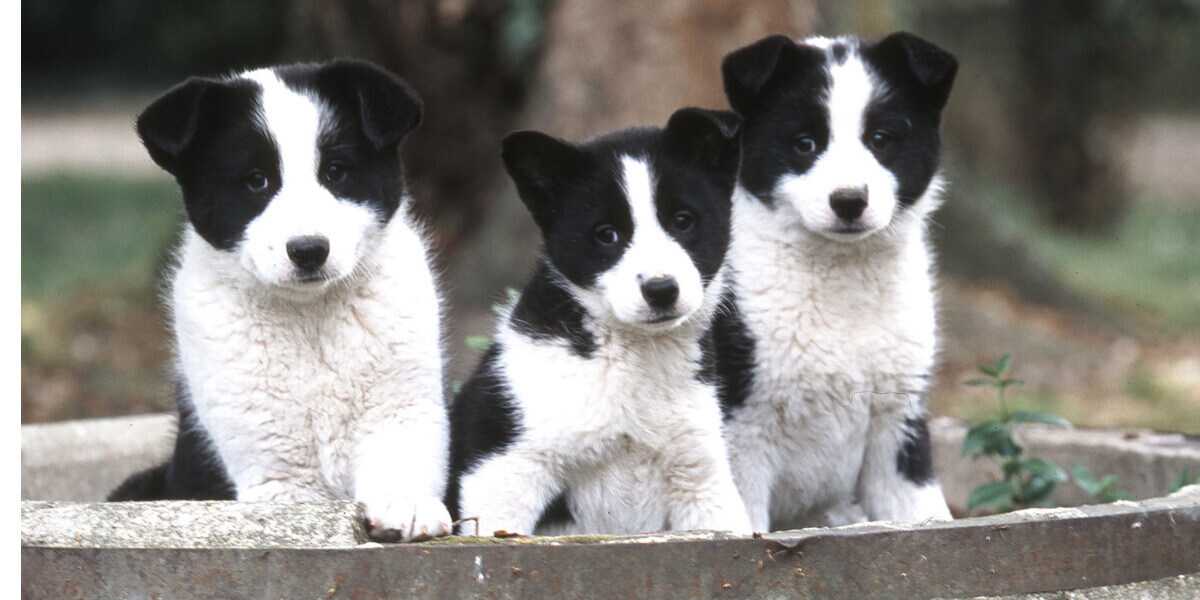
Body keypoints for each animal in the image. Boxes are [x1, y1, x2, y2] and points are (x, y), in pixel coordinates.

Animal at [108, 60, 451, 544]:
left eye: (336, 172)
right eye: (256, 181)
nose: (308, 250)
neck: (310, 316)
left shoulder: (400, 406)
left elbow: (402, 459)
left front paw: (407, 508)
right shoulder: (275, 468)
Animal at [448, 106, 748, 535]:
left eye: (683, 220)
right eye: (606, 234)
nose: (661, 289)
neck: (631, 355)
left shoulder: (700, 475)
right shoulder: (504, 469)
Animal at [715, 34, 960, 530]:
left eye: (881, 139)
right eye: (804, 144)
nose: (849, 201)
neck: (842, 274)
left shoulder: (897, 423)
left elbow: (926, 516)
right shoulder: (743, 433)